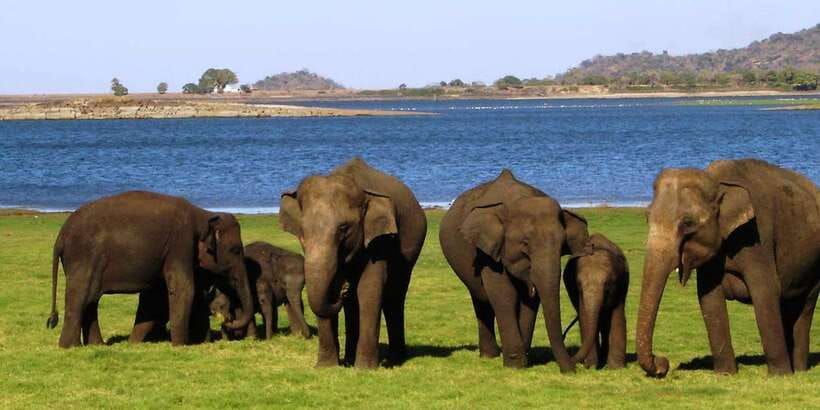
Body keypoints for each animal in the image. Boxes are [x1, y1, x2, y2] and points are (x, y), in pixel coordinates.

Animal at [47, 191, 254, 347]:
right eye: (235, 250)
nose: (228, 320)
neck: (203, 214)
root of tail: (60, 236)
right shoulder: (180, 244)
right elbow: (184, 288)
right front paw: (180, 345)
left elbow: (155, 296)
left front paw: (134, 343)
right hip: (84, 258)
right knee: (79, 297)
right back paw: (69, 347)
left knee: (91, 300)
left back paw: (97, 345)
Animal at [279, 157, 427, 368]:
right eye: (303, 229)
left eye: (343, 228)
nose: (343, 288)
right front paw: (325, 367)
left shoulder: (380, 239)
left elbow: (369, 288)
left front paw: (364, 369)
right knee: (354, 305)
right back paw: (350, 359)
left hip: (412, 246)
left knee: (394, 295)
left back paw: (394, 359)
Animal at [439, 169, 589, 372]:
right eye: (525, 244)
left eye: (562, 245)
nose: (571, 371)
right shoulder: (488, 251)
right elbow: (503, 294)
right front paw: (515, 364)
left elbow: (530, 301)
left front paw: (524, 360)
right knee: (481, 298)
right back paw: (490, 356)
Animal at [562, 233, 628, 369]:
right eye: (579, 284)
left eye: (607, 284)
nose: (571, 360)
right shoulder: (578, 293)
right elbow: (585, 317)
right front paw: (591, 366)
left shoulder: (621, 284)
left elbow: (617, 316)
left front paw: (616, 367)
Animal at [636, 159, 820, 377]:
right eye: (647, 217)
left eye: (687, 223)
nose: (663, 364)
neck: (717, 181)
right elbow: (709, 298)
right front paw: (725, 373)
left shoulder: (757, 238)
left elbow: (765, 292)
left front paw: (779, 375)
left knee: (806, 304)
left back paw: (798, 370)